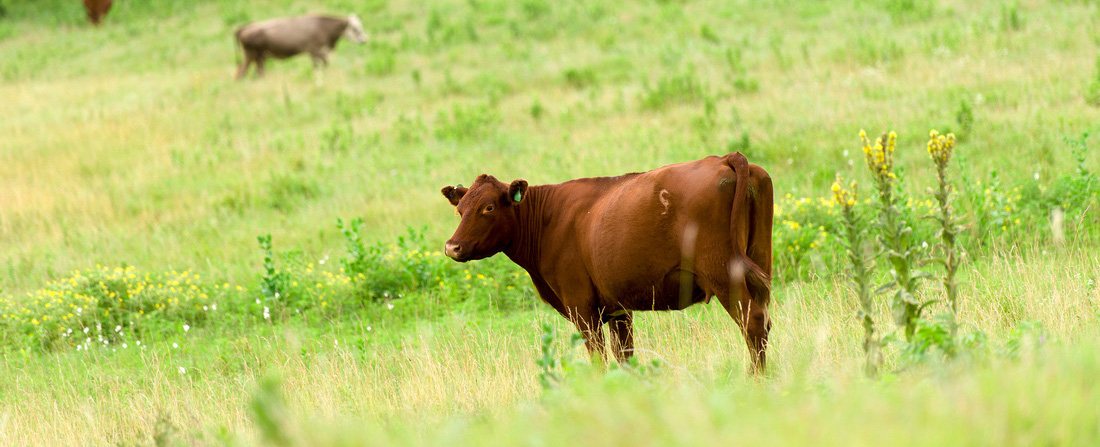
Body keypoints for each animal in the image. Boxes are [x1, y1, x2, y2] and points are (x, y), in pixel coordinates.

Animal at [234, 14, 367, 79]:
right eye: (355, 28)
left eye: (360, 26)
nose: (364, 40)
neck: (323, 27)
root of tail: (244, 28)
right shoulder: (315, 50)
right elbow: (324, 63)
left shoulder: (315, 53)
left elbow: (316, 66)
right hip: (252, 55)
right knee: (241, 72)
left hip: (258, 58)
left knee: (256, 72)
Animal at [441, 152, 774, 373]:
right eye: (460, 209)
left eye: (488, 207)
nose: (451, 247)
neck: (549, 220)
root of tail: (723, 158)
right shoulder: (617, 307)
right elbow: (625, 355)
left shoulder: (581, 307)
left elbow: (599, 358)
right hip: (759, 264)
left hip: (723, 272)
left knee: (752, 322)